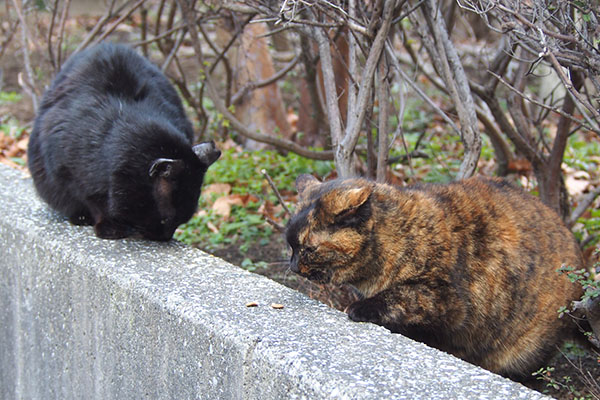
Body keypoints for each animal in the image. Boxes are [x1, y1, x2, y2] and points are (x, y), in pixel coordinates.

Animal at [28, 43, 220, 241]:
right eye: (166, 219)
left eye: (181, 221)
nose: (165, 236)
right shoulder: (69, 173)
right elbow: (93, 202)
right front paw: (109, 227)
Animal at [286, 174, 584, 378]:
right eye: (291, 247)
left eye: (309, 249)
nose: (293, 267)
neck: (396, 236)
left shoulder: (445, 298)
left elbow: (400, 294)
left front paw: (361, 307)